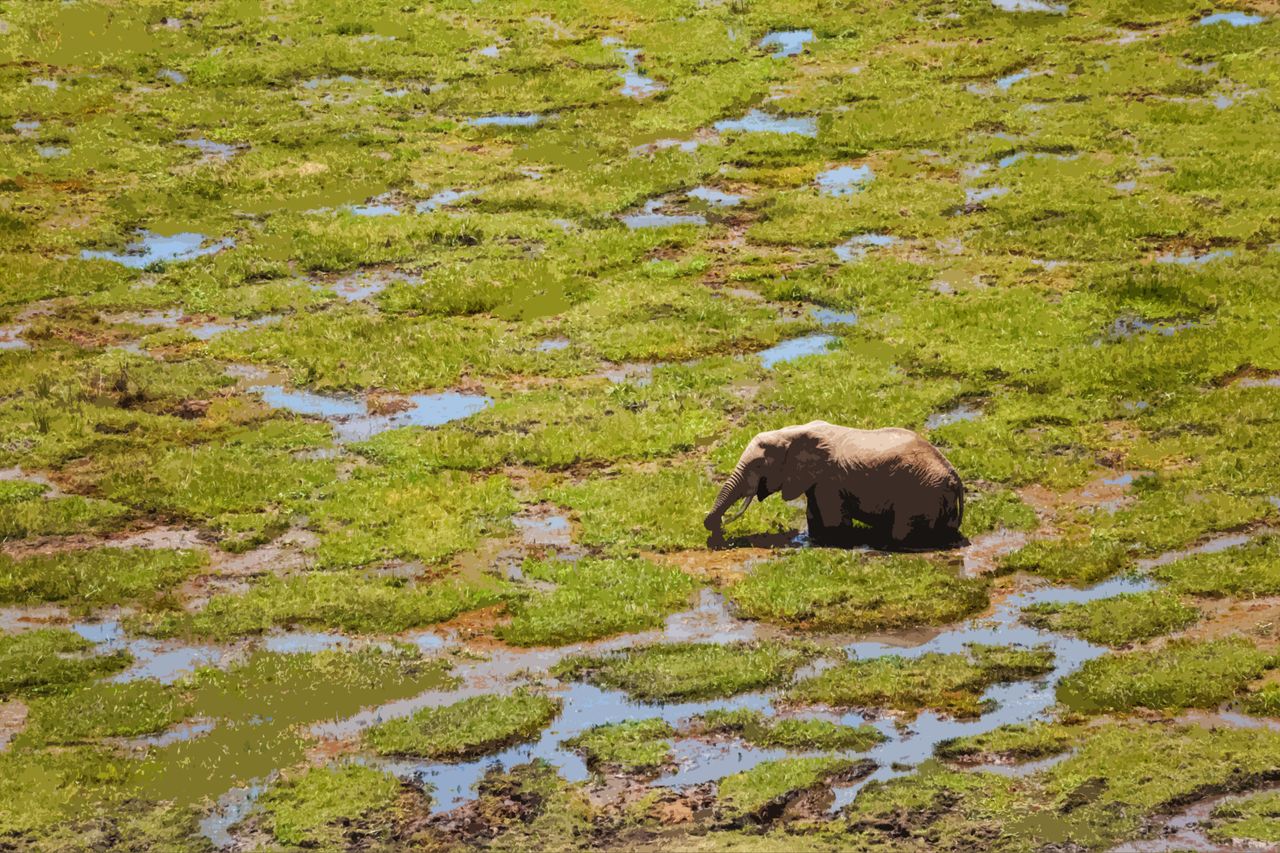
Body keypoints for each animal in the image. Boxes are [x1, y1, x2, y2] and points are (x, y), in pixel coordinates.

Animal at [706, 417, 962, 545]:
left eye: (759, 465)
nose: (719, 532)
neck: (791, 432)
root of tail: (954, 476)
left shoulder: (829, 480)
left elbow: (833, 523)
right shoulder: (815, 480)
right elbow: (813, 516)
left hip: (921, 494)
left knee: (902, 531)